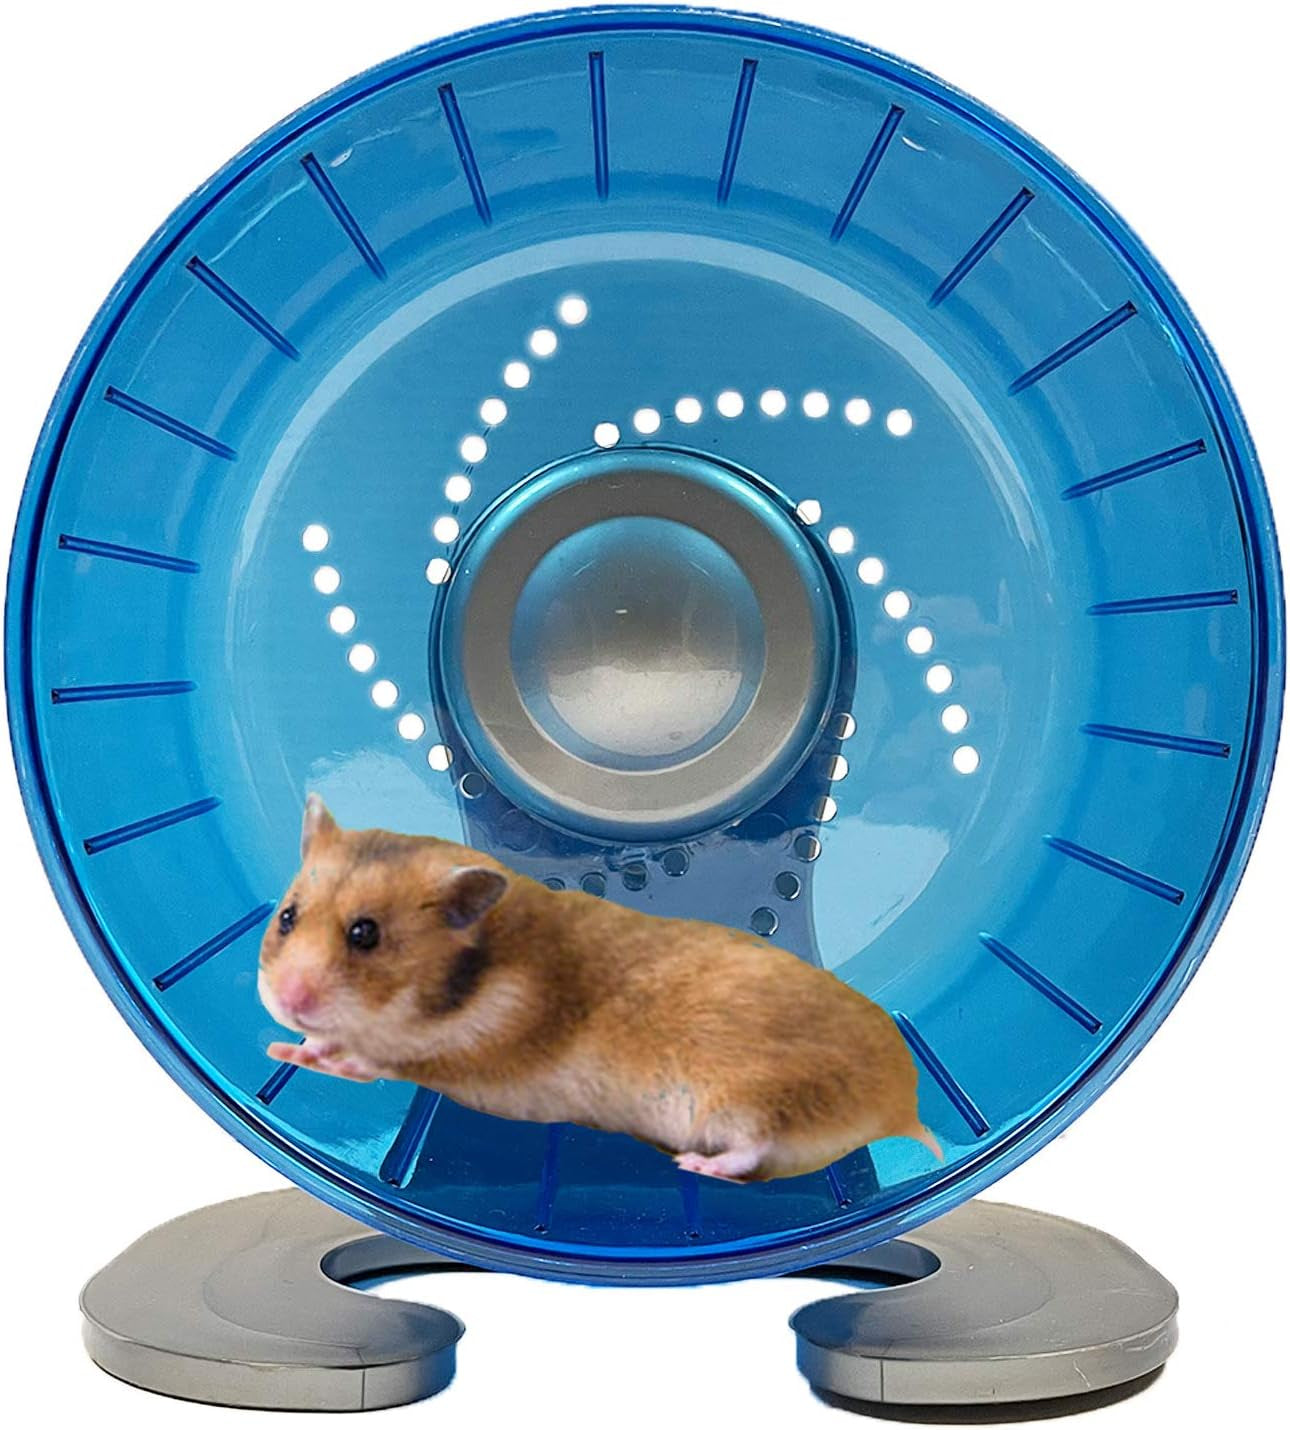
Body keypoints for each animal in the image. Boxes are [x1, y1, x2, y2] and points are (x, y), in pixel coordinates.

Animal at [259, 795, 941, 1182]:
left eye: (365, 934)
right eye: (287, 917)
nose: (286, 1002)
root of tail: (900, 1104)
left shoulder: (471, 1052)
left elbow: (373, 1062)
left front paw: (293, 1051)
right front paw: (287, 1048)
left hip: (750, 1097)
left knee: (755, 1150)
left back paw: (696, 1164)